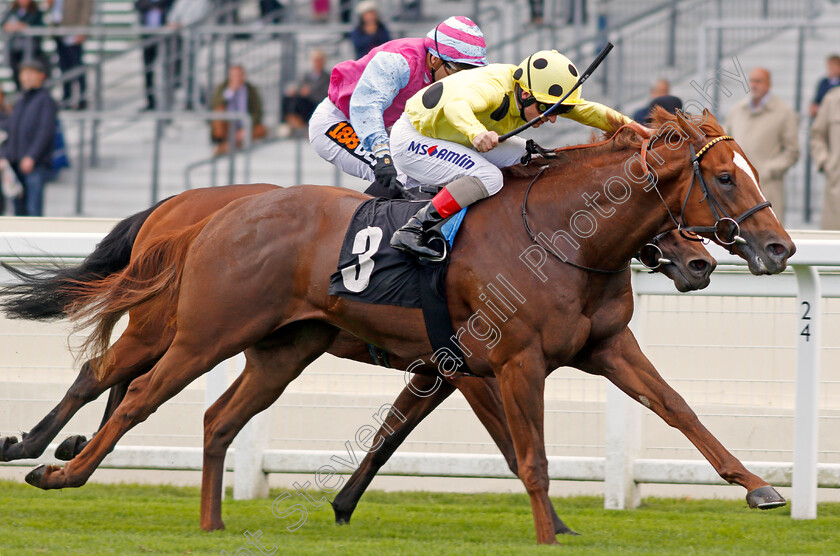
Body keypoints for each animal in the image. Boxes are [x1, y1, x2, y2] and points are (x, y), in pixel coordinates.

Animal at [19, 111, 796, 544]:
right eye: (725, 177)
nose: (780, 248)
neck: (557, 235)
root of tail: (206, 214)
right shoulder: (504, 362)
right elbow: (525, 452)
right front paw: (552, 530)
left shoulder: (599, 346)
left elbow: (677, 408)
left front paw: (760, 486)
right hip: (198, 331)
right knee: (130, 390)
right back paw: (53, 464)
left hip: (280, 349)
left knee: (214, 418)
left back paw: (206, 521)